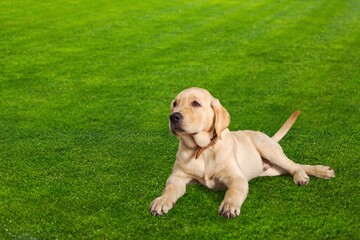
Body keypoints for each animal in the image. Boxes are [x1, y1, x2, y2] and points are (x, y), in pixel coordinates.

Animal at [149, 87, 334, 218]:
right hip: (272, 169)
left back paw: (307, 175)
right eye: (174, 104)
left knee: (293, 165)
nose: (173, 117)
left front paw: (229, 206)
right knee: (294, 166)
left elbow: (233, 191)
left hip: (267, 148)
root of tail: (270, 138)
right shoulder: (177, 177)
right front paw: (162, 201)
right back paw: (322, 171)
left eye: (195, 103)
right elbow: (170, 189)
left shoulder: (237, 178)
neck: (203, 149)